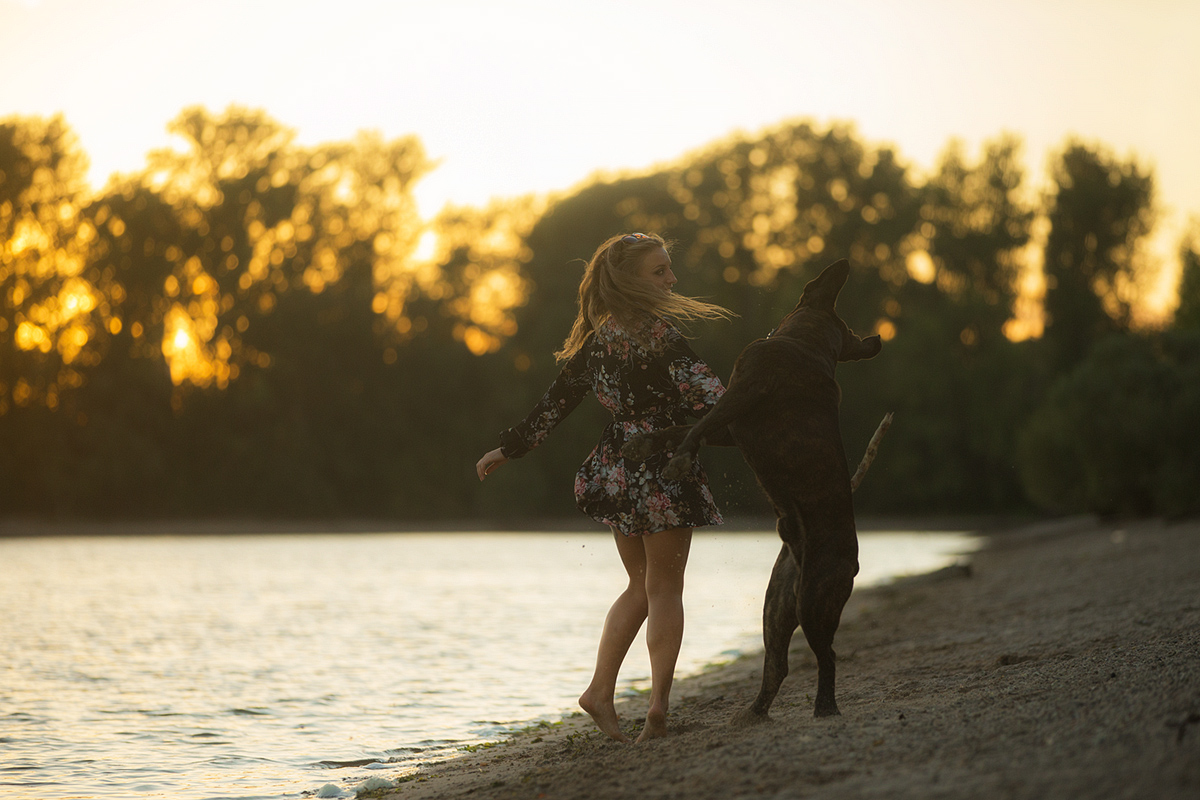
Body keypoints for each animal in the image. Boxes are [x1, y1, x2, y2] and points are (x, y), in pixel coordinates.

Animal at [624, 260, 888, 724]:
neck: (801, 342)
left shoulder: (743, 394)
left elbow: (695, 427)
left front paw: (678, 460)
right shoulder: (733, 426)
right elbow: (679, 429)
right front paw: (644, 444)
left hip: (815, 601)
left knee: (827, 656)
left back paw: (825, 707)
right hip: (776, 608)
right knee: (777, 664)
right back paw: (754, 712)